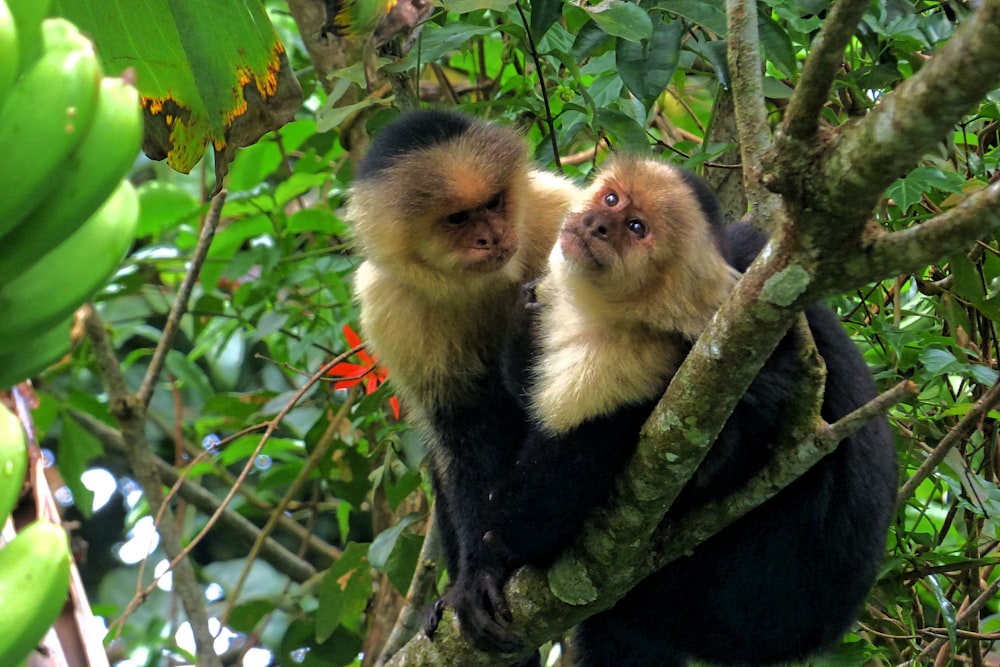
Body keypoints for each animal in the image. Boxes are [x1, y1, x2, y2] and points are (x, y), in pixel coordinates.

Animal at [348, 108, 580, 656]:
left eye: (493, 204)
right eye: (458, 219)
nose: (491, 237)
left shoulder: (555, 214)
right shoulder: (389, 307)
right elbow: (464, 435)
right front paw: (476, 577)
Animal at [460, 158, 900, 667]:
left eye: (637, 228)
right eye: (612, 199)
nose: (597, 223)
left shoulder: (625, 361)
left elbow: (533, 518)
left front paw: (490, 562)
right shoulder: (750, 254)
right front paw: (526, 318)